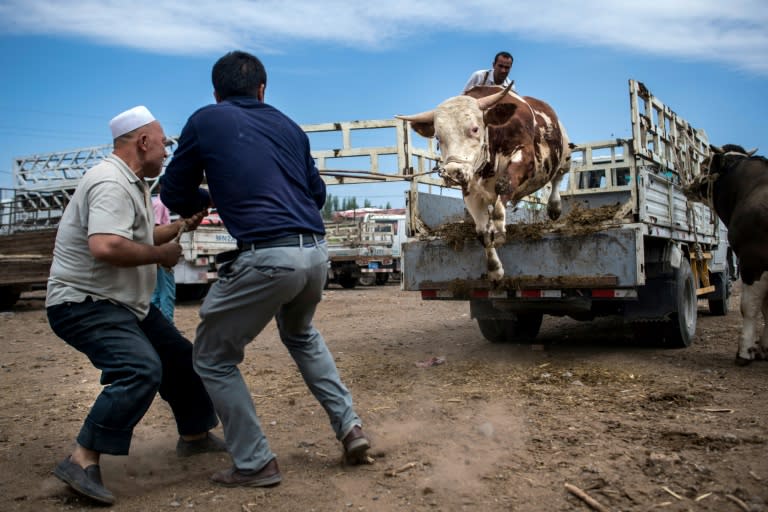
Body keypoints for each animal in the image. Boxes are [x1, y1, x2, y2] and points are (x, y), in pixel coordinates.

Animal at [396, 86, 568, 282]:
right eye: (438, 137)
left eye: (475, 129)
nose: (453, 172)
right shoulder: (471, 191)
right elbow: (482, 232)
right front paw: (495, 270)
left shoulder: (525, 158)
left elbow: (503, 185)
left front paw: (499, 229)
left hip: (565, 155)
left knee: (558, 177)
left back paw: (554, 207)